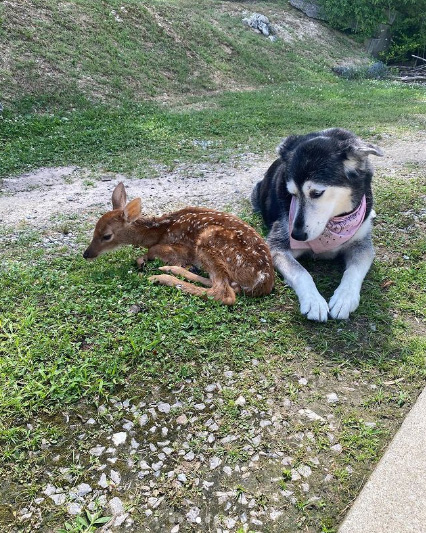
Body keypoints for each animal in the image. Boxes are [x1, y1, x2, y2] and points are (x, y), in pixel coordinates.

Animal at [251, 127, 384, 322]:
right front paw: (314, 302)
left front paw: (344, 298)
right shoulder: (276, 246)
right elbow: (301, 272)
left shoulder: (362, 245)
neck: (333, 224)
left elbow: (354, 270)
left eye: (317, 193)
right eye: (292, 194)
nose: (296, 235)